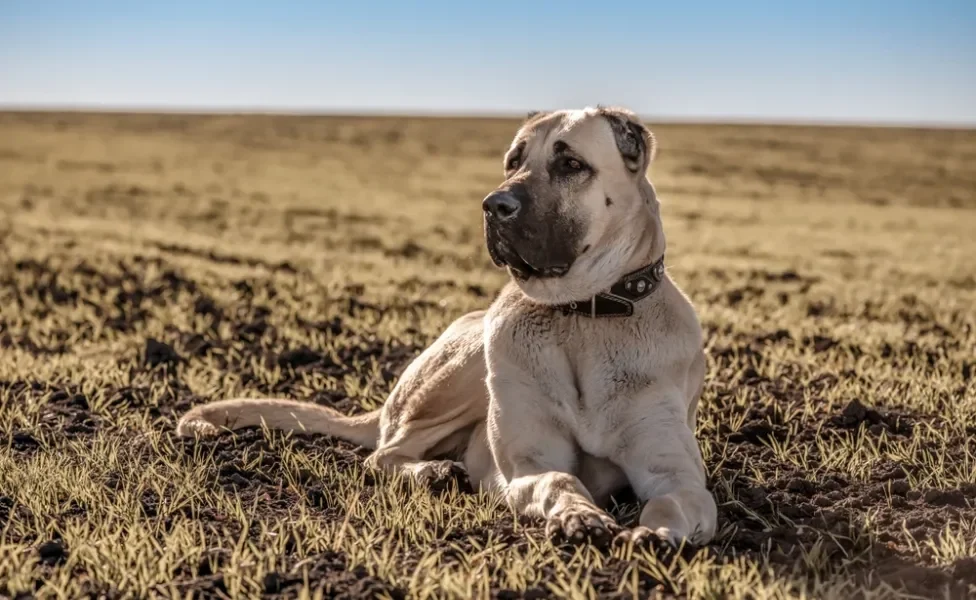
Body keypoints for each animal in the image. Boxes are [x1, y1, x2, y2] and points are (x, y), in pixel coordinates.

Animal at [177, 108, 716, 548]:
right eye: (513, 161)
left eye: (570, 164)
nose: (494, 205)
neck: (584, 316)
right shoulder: (531, 464)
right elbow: (558, 481)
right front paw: (580, 517)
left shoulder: (675, 472)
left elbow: (674, 499)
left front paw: (655, 534)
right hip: (464, 368)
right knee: (383, 454)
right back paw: (433, 471)